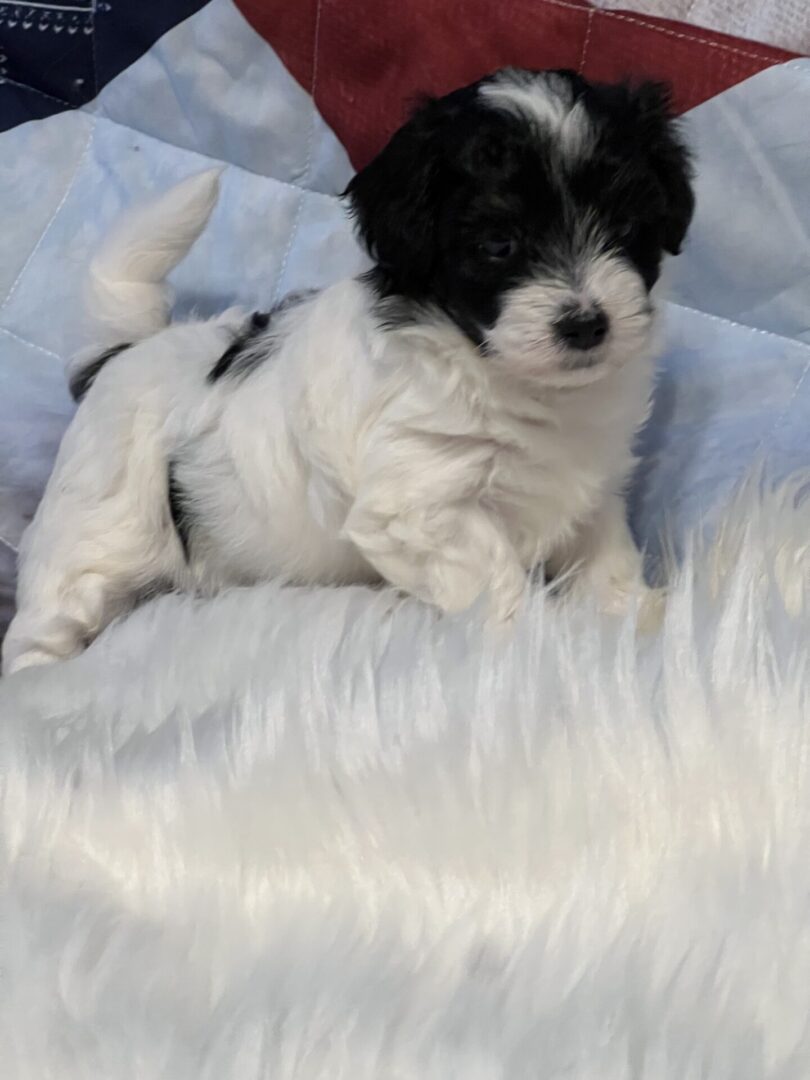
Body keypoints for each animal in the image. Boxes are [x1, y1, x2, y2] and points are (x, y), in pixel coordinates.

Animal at [3, 67, 695, 673]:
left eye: (626, 225)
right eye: (499, 245)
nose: (585, 324)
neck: (505, 376)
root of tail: (121, 355)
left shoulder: (588, 487)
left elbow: (604, 555)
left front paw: (636, 621)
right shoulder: (417, 506)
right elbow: (496, 577)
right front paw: (536, 649)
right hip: (94, 531)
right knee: (49, 615)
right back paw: (43, 676)